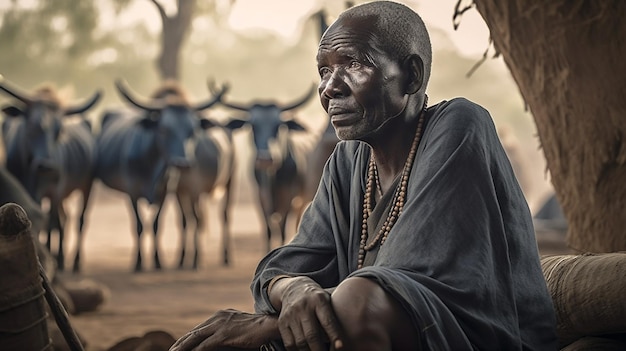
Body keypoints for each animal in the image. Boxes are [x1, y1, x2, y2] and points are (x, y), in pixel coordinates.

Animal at [0, 78, 100, 274]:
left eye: (59, 130)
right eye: (32, 126)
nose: (48, 166)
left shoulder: (55, 189)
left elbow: (52, 221)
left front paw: (57, 259)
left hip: (86, 186)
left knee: (78, 219)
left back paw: (73, 261)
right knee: (65, 218)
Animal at [94, 80, 225, 272]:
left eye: (192, 131)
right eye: (164, 129)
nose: (182, 163)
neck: (151, 162)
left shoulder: (164, 192)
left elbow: (156, 225)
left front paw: (157, 261)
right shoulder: (132, 193)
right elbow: (139, 225)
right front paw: (138, 262)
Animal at [217, 86, 314, 254]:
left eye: (278, 126)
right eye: (252, 126)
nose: (265, 159)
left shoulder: (288, 196)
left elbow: (282, 227)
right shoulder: (260, 195)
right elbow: (268, 228)